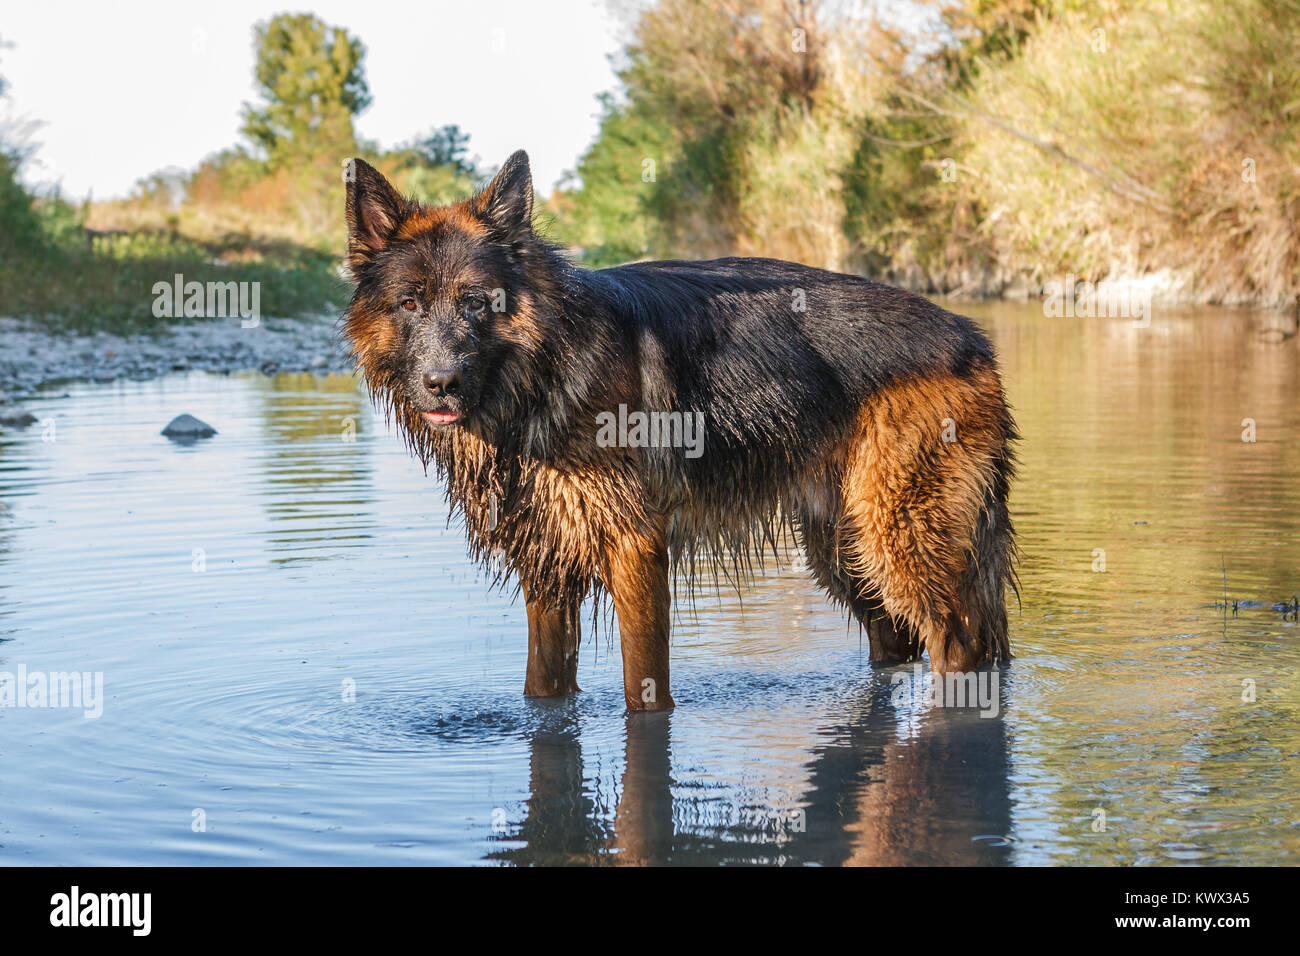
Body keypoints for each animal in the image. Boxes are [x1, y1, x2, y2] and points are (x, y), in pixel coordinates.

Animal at [338, 145, 1013, 707]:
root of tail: (972, 336)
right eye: (409, 303)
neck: (542, 376)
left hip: (897, 540)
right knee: (897, 640)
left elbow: (645, 693)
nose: (441, 382)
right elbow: (544, 688)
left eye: (477, 302)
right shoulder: (548, 567)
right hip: (845, 549)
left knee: (960, 645)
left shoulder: (635, 550)